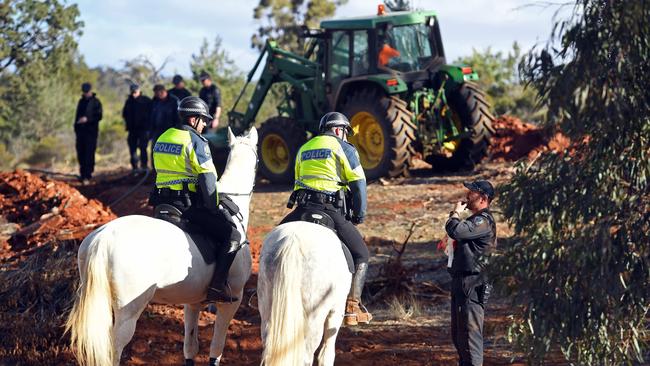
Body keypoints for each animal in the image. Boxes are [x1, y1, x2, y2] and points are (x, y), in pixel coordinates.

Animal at [66, 127, 256, 366]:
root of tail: (103, 240)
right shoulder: (231, 302)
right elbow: (216, 348)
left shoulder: (193, 302)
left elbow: (190, 347)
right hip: (128, 311)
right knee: (113, 349)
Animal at [256, 220, 352, 366]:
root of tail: (292, 240)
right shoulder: (336, 309)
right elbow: (326, 355)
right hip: (314, 318)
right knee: (307, 356)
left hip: (267, 311)